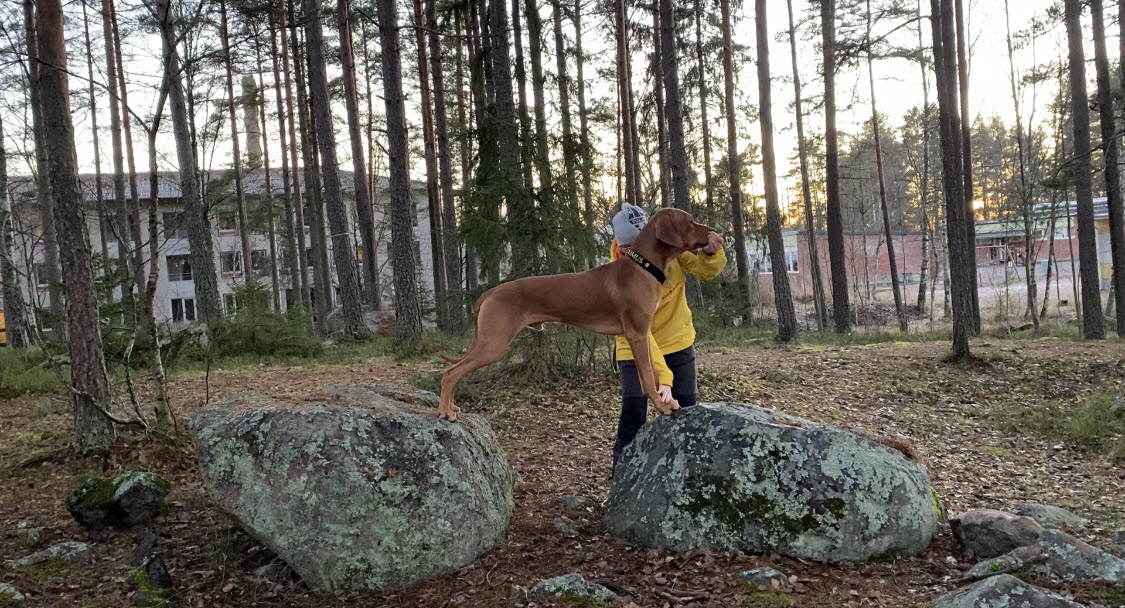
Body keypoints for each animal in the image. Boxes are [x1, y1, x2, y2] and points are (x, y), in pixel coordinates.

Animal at [434, 207, 715, 421]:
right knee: (450, 373)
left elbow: (654, 373)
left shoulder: (644, 334)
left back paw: (451, 406)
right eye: (690, 221)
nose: (713, 230)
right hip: (493, 343)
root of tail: (490, 292)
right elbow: (646, 377)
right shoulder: (636, 333)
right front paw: (661, 405)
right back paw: (445, 411)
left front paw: (665, 399)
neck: (641, 267)